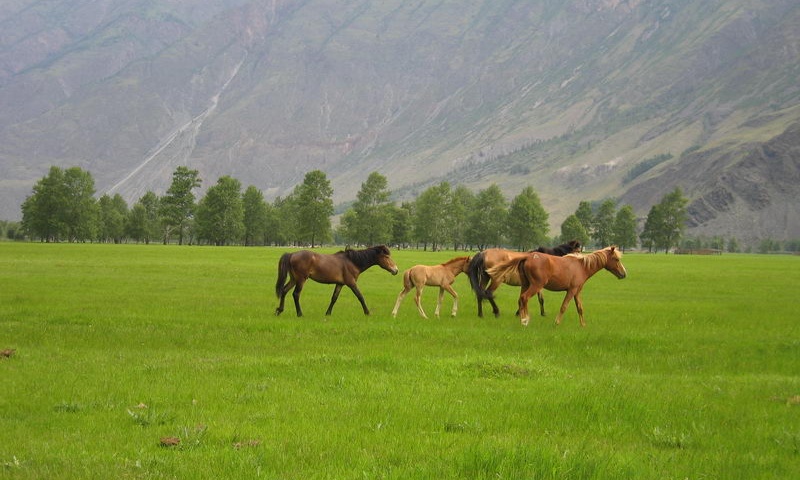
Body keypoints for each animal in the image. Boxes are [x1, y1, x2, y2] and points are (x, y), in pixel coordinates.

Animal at [484, 248, 628, 326]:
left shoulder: (577, 292)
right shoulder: (571, 291)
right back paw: (525, 320)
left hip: (525, 284)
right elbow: (564, 307)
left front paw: (583, 325)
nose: (624, 274)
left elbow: (580, 308)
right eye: (616, 259)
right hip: (535, 286)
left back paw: (522, 319)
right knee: (524, 298)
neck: (581, 266)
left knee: (520, 300)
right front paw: (556, 323)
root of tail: (527, 257)